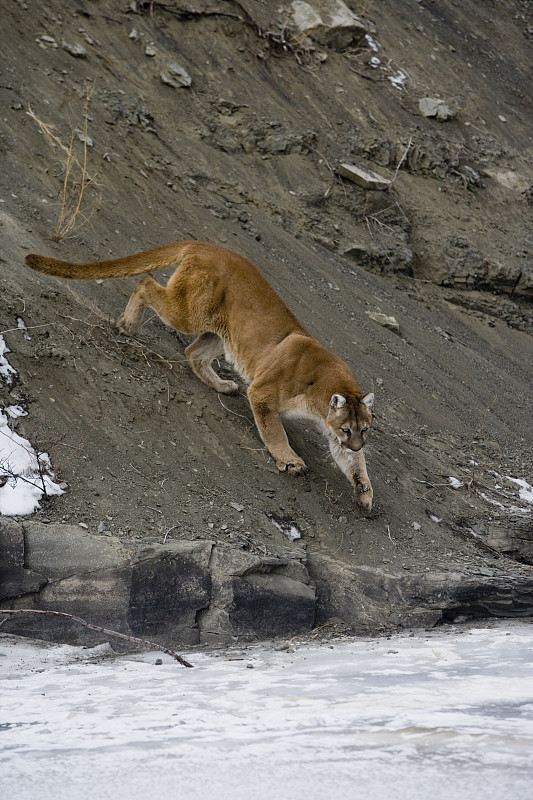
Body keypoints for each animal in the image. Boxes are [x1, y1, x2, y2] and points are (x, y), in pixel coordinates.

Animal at [26, 241, 374, 512]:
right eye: (347, 428)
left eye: (364, 430)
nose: (358, 444)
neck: (323, 392)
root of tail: (207, 245)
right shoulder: (264, 393)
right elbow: (275, 432)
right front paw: (291, 461)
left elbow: (353, 464)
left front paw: (364, 491)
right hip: (189, 313)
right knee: (146, 284)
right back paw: (127, 324)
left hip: (221, 333)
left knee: (193, 352)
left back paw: (223, 384)